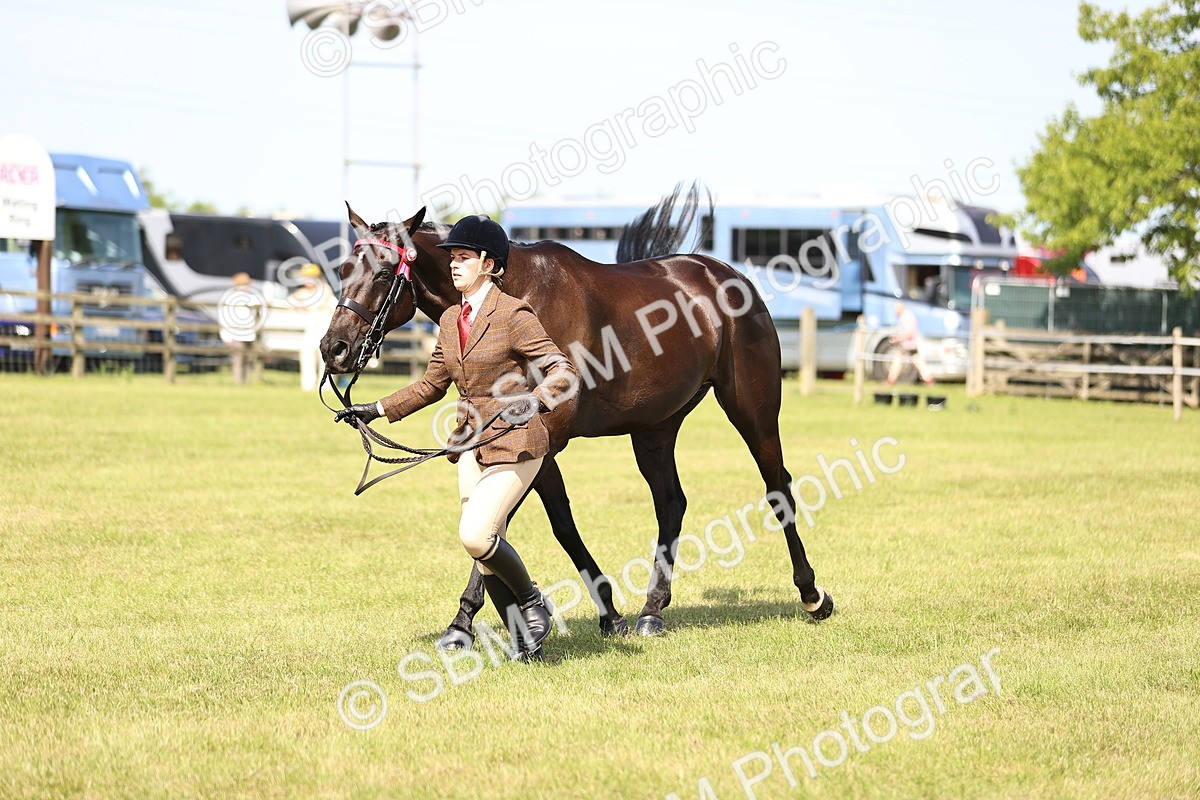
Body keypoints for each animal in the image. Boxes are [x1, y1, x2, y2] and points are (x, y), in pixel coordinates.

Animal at [320, 186, 834, 646]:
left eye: (384, 274)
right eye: (343, 270)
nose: (333, 349)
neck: (515, 292)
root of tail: (724, 274)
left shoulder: (541, 438)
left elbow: (534, 525)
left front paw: (604, 615)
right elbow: (505, 526)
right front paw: (468, 622)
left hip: (753, 410)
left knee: (776, 485)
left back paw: (811, 594)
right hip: (655, 427)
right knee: (671, 502)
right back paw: (652, 610)